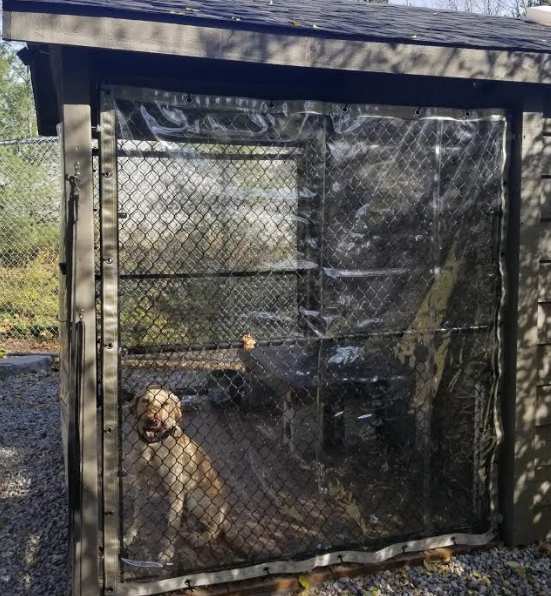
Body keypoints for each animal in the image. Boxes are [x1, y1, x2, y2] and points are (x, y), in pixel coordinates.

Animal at [126, 384, 226, 560]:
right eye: (145, 401)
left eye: (165, 404)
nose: (152, 421)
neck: (153, 445)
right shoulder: (140, 484)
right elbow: (137, 514)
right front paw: (131, 534)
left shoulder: (176, 492)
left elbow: (171, 528)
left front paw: (167, 552)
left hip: (195, 499)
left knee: (214, 528)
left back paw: (200, 538)